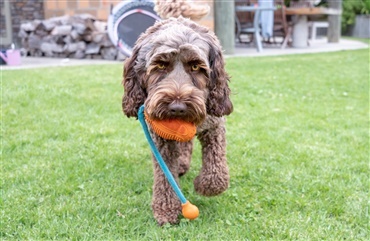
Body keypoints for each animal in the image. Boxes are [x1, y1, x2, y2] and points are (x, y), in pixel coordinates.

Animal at [122, 17, 231, 226]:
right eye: (161, 66)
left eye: (196, 67)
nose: (178, 108)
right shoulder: (161, 140)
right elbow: (165, 176)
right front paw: (166, 210)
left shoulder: (214, 126)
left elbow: (217, 173)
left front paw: (203, 185)